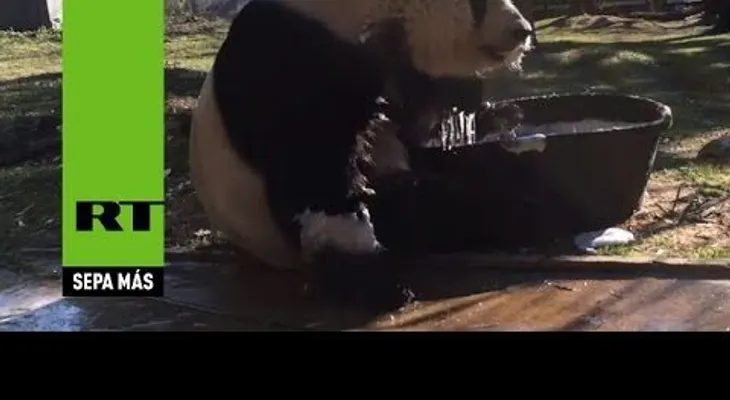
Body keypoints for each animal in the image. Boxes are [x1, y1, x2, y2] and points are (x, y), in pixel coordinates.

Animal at [189, 0, 533, 272]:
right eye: (479, 3)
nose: (522, 31)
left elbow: (417, 121)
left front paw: (492, 110)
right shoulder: (293, 56)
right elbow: (312, 163)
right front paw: (358, 249)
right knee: (430, 206)